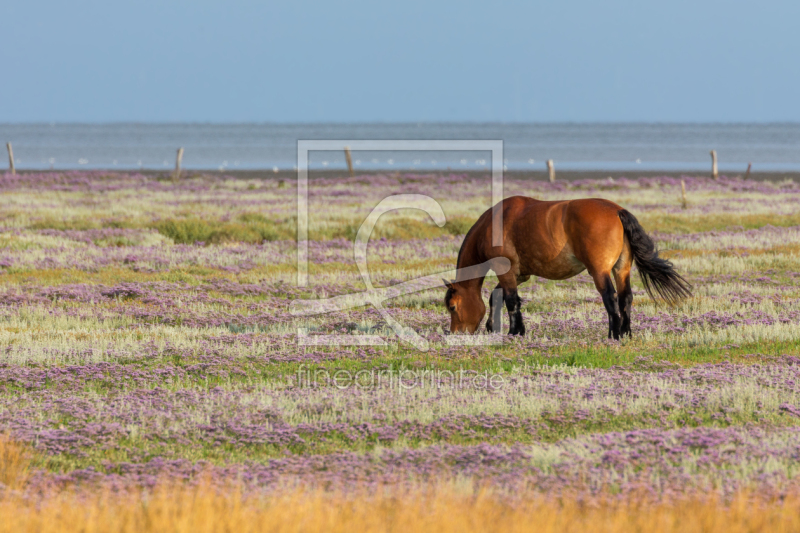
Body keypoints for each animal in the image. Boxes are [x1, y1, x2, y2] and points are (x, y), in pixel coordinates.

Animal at [444, 194, 692, 336]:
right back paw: (626, 332)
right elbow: (498, 298)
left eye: (452, 307)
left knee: (610, 297)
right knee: (625, 298)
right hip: (622, 269)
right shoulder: (519, 275)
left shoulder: (507, 273)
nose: (456, 333)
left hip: (599, 271)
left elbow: (511, 301)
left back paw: (613, 334)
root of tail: (616, 211)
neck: (495, 223)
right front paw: (497, 328)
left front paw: (514, 332)